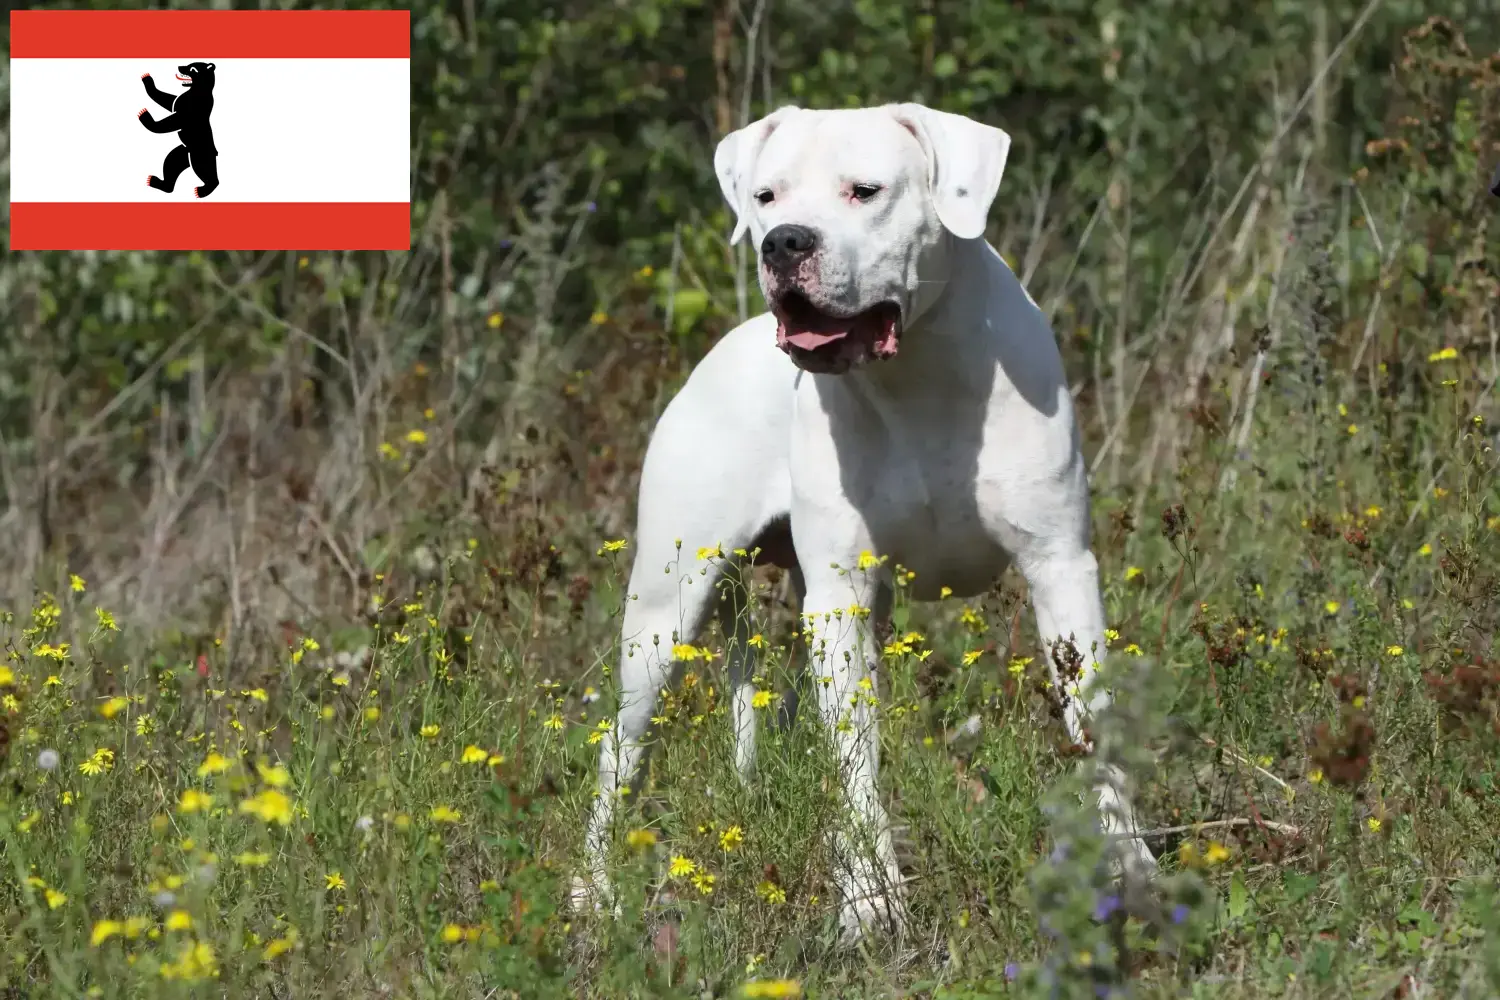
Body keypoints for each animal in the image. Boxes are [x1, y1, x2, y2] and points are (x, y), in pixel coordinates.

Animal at [576, 99, 1158, 941]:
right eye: (766, 197)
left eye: (865, 191)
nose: (785, 242)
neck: (917, 373)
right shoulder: (841, 601)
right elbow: (856, 760)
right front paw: (869, 901)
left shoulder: (1061, 571)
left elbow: (1093, 727)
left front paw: (1130, 872)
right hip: (662, 615)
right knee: (621, 752)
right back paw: (592, 891)